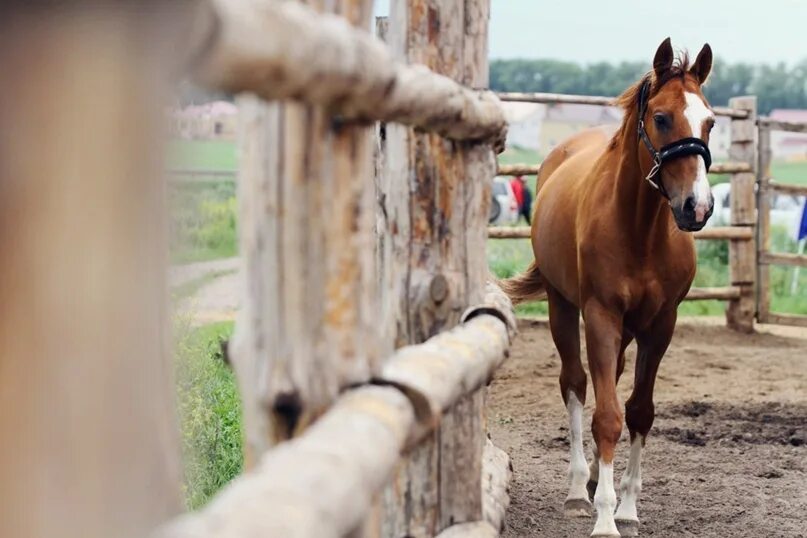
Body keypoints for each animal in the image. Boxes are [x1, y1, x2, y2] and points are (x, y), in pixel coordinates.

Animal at [502, 38, 716, 536]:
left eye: (710, 121)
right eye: (662, 117)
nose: (697, 207)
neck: (640, 231)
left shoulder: (661, 325)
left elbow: (637, 411)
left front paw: (628, 507)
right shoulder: (600, 315)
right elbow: (605, 415)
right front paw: (603, 515)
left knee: (611, 381)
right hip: (563, 307)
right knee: (577, 383)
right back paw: (579, 488)